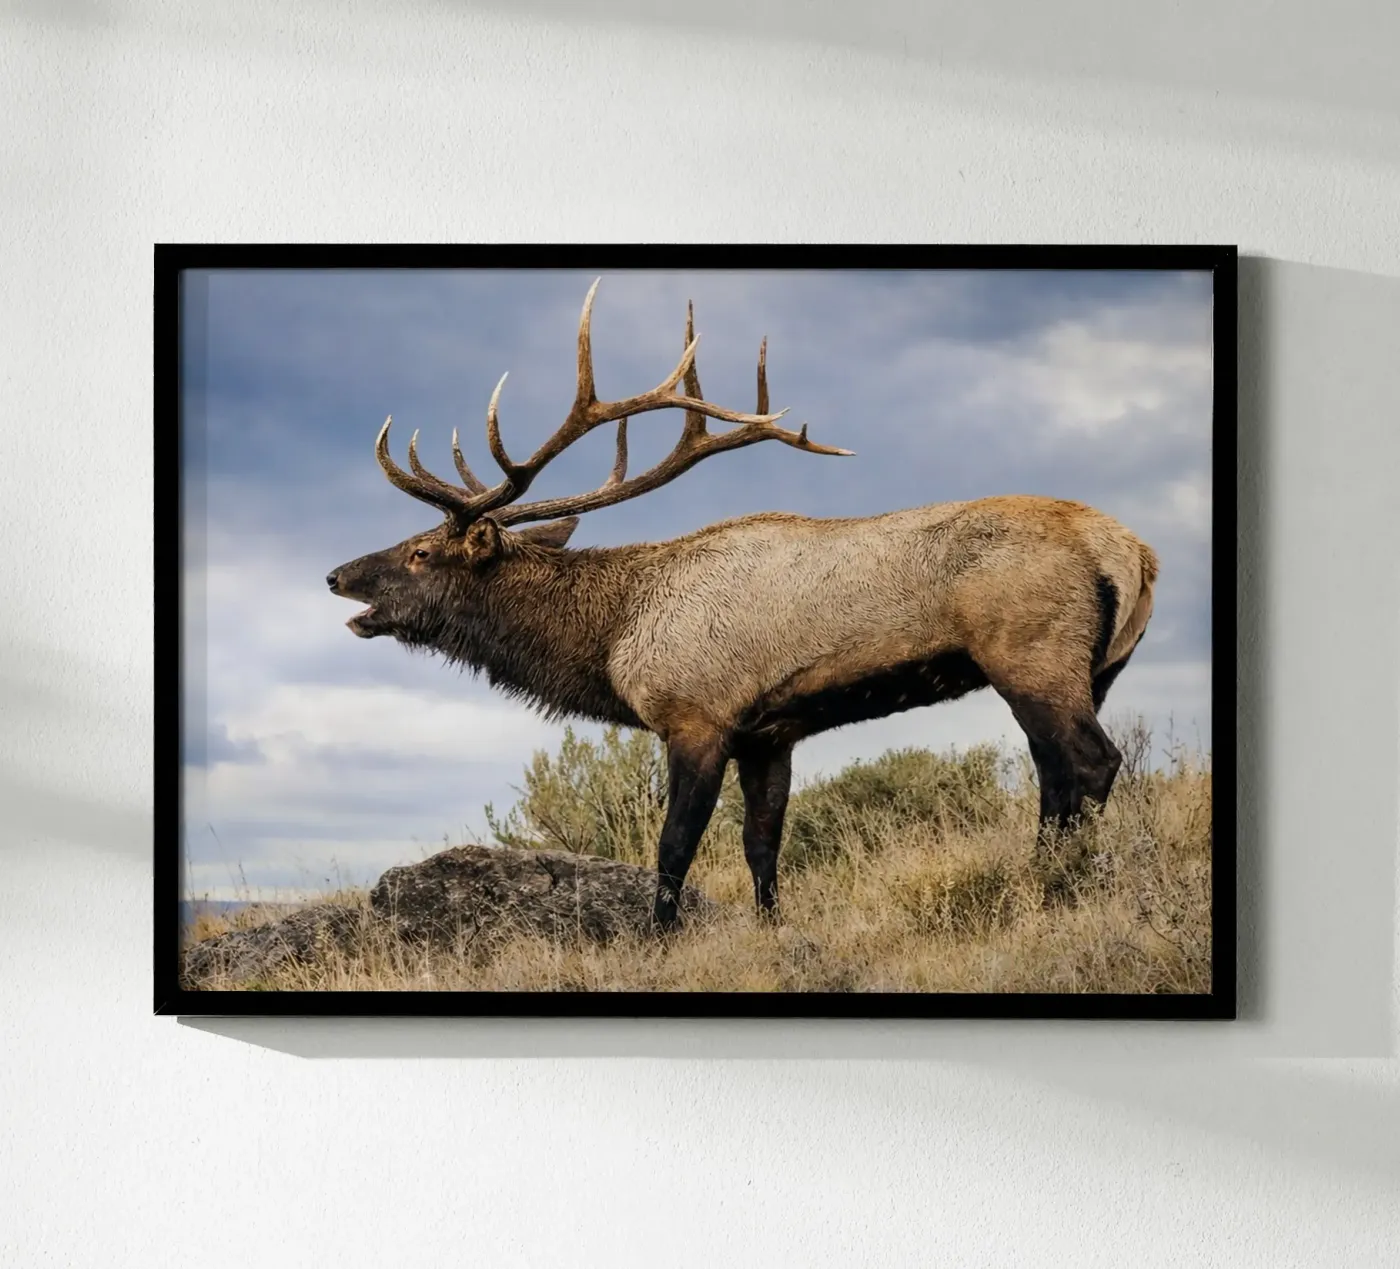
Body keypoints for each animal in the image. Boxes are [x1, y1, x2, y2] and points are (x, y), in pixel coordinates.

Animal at [327, 279, 1159, 930]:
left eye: (421, 552)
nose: (337, 575)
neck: (614, 639)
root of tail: (1134, 554)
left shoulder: (698, 715)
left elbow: (674, 846)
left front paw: (657, 940)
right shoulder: (771, 733)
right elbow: (763, 844)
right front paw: (769, 928)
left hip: (1031, 652)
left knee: (1089, 762)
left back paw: (1058, 891)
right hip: (1099, 668)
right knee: (1056, 774)